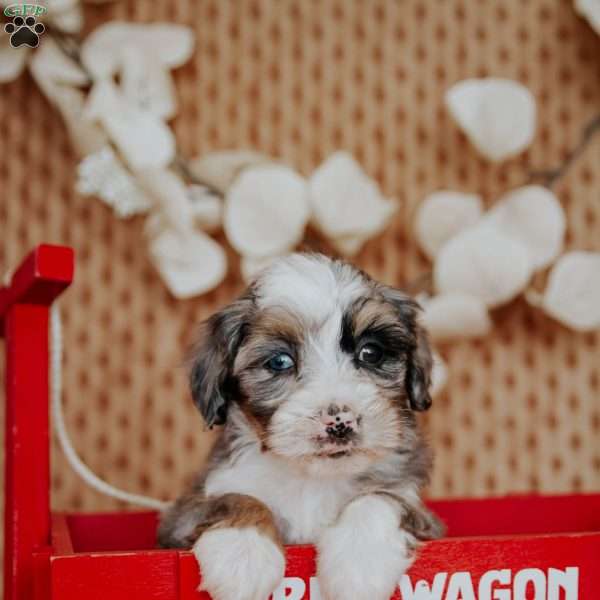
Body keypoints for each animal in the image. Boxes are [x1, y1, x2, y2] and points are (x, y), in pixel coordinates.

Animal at [157, 253, 442, 600]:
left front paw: (359, 562)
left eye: (371, 352)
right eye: (280, 362)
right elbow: (233, 498)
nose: (340, 421)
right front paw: (243, 555)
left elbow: (381, 498)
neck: (313, 479)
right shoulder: (181, 516)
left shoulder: (419, 509)